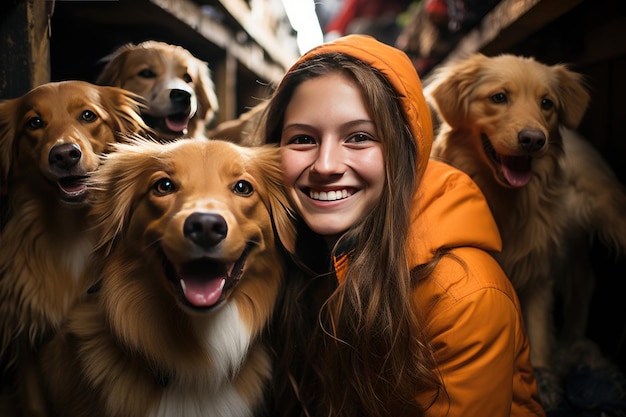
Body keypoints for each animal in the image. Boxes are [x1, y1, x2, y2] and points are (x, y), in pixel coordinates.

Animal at [0, 79, 147, 414]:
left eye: (88, 116)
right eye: (34, 123)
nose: (65, 154)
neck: (72, 230)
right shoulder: (25, 342)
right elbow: (34, 405)